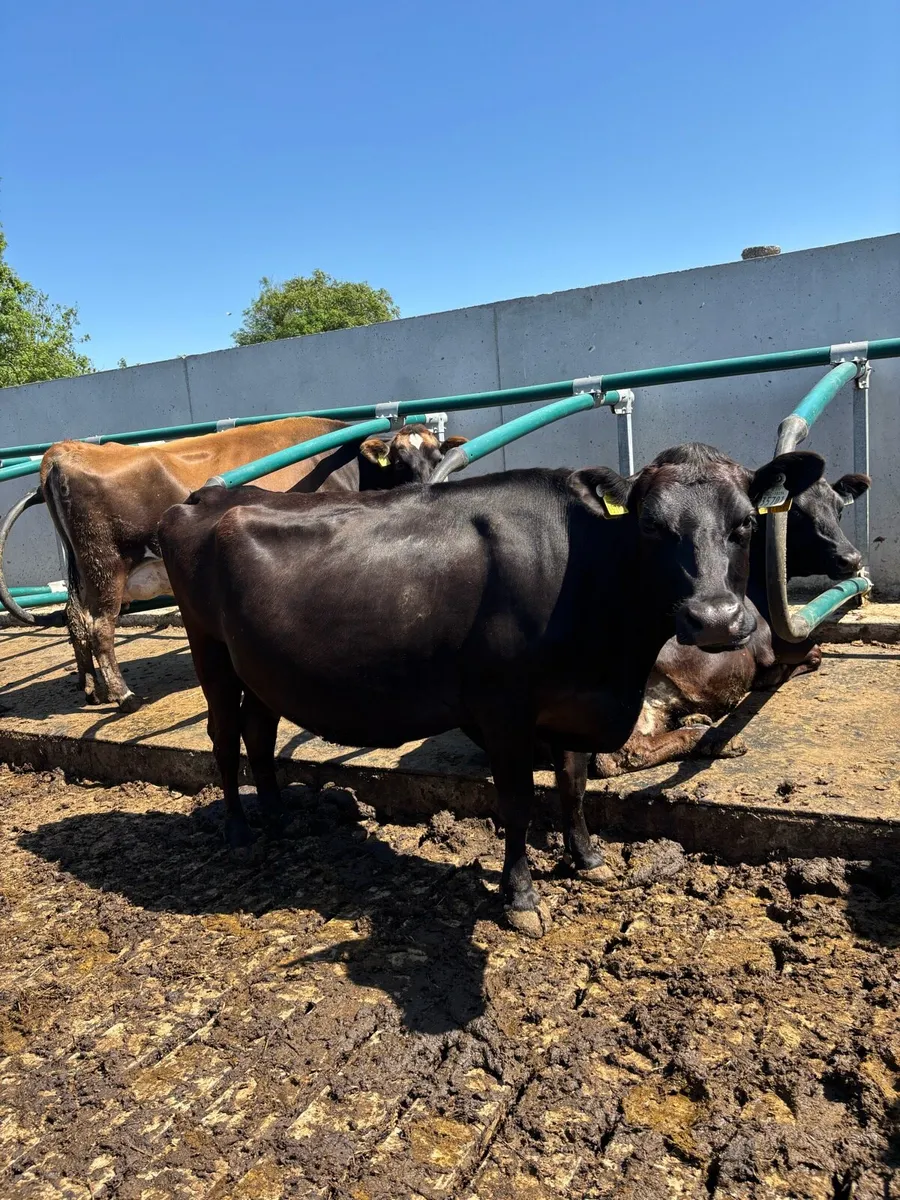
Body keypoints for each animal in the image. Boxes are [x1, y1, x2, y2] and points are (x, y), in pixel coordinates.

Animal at [4, 418, 465, 712]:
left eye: (437, 453)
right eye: (399, 460)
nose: (429, 485)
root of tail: (65, 450)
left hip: (84, 573)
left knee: (74, 619)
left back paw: (90, 689)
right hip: (107, 567)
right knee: (99, 627)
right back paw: (123, 696)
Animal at [158, 442, 824, 937]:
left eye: (745, 524)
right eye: (652, 527)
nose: (716, 620)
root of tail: (204, 499)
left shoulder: (569, 701)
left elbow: (573, 785)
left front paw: (588, 861)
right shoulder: (504, 710)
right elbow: (520, 802)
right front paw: (522, 899)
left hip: (261, 666)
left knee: (258, 729)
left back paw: (278, 816)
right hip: (208, 649)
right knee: (224, 735)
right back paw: (240, 832)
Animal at [590, 459, 870, 777]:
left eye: (839, 508)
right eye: (796, 512)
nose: (851, 558)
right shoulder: (773, 644)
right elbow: (815, 653)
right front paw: (770, 676)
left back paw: (696, 720)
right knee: (618, 755)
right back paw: (713, 739)